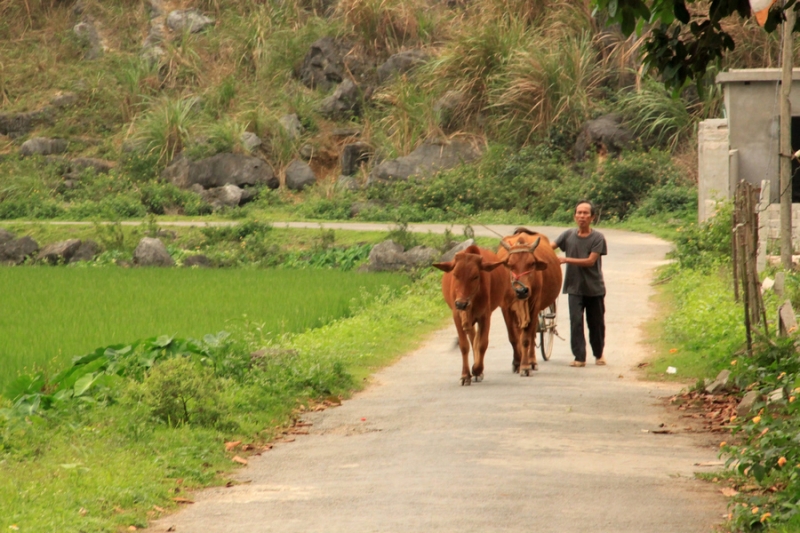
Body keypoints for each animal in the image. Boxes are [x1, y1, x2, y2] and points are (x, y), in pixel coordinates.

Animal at [432, 245, 512, 386]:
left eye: (475, 276)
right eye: (455, 275)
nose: (461, 303)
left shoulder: (485, 316)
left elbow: (482, 344)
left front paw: (477, 370)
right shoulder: (457, 316)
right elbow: (464, 345)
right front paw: (465, 375)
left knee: (477, 339)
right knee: (472, 337)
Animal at [500, 227, 564, 376]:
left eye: (532, 263)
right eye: (510, 265)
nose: (521, 291)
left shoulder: (534, 305)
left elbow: (526, 338)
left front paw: (524, 366)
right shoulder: (505, 307)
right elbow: (513, 337)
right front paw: (516, 363)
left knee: (532, 334)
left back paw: (532, 361)